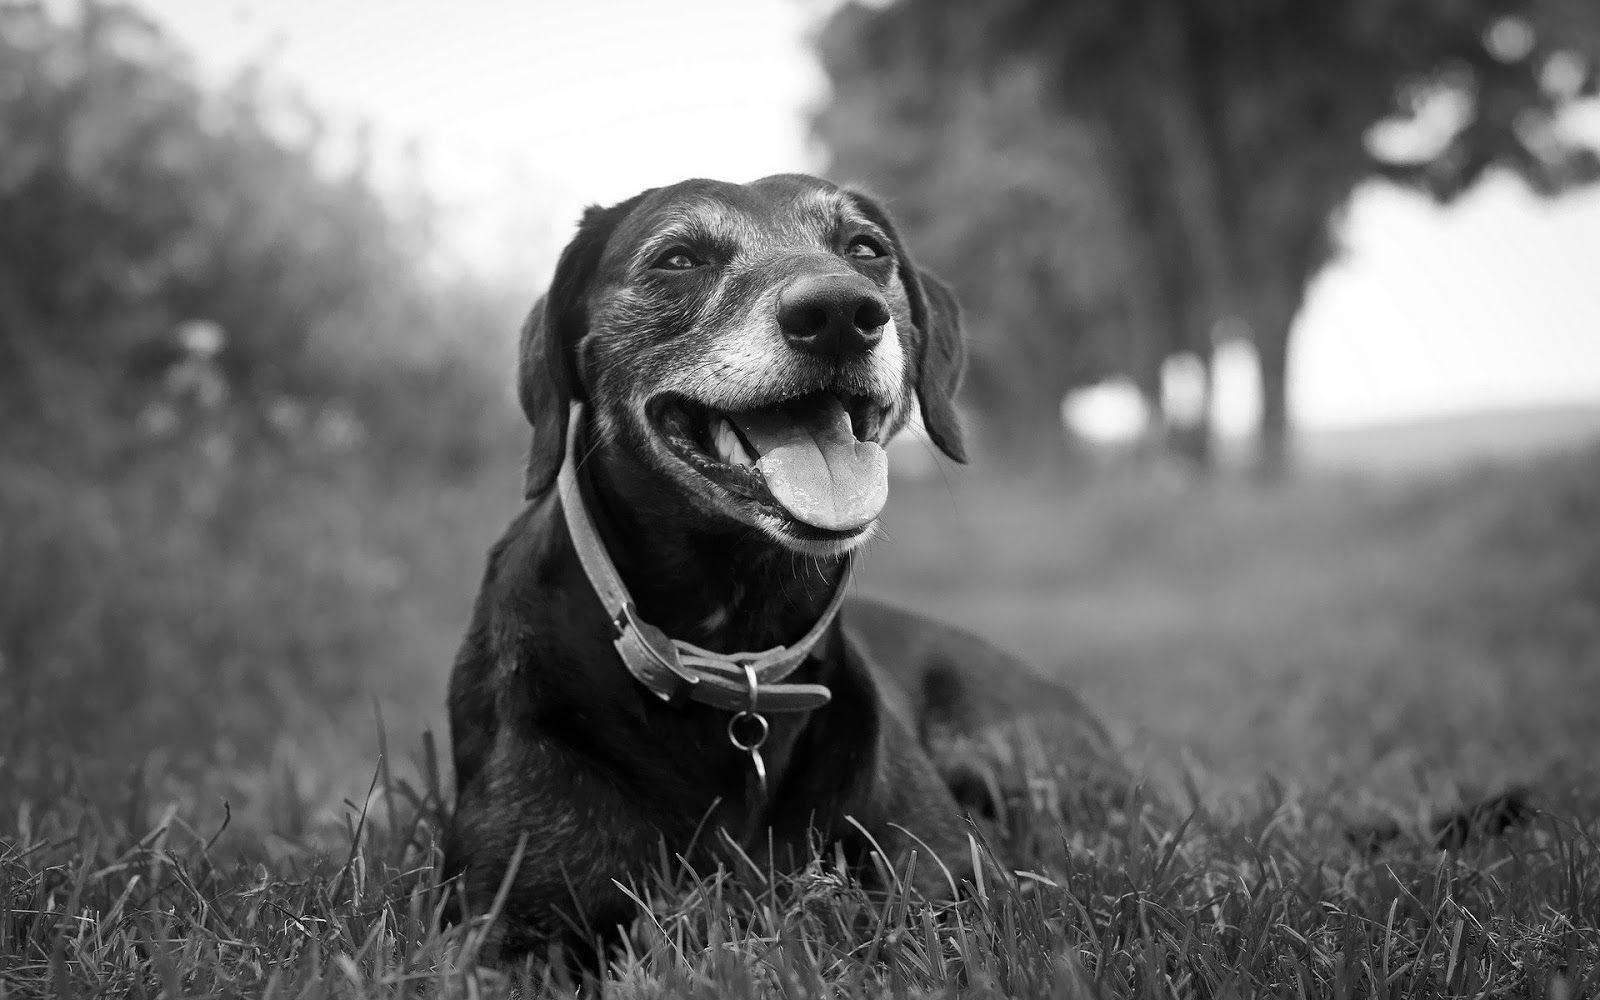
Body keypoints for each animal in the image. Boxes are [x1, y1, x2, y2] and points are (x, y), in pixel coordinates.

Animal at [444, 173, 1120, 960]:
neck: (732, 641)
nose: (839, 314)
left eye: (866, 249)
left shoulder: (964, 890)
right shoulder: (509, 921)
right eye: (677, 258)